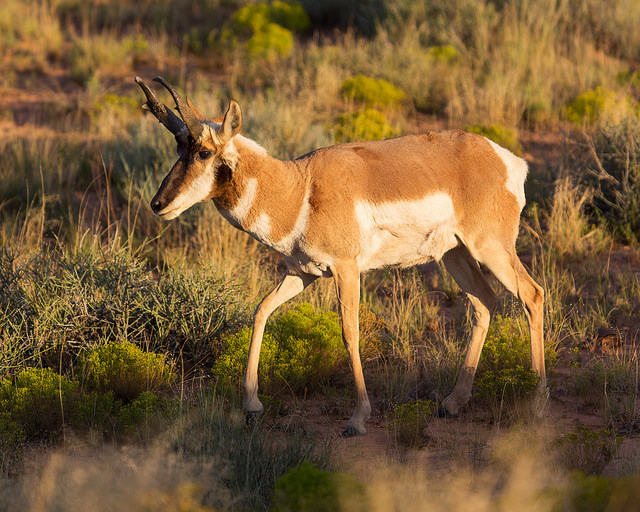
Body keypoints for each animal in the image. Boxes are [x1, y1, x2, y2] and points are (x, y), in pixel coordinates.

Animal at [135, 76, 545, 436]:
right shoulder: (302, 273)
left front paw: (357, 419)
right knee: (486, 303)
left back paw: (538, 399)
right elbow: (261, 311)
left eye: (204, 151)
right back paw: (452, 402)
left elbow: (350, 332)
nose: (157, 204)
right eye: (178, 149)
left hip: (490, 248)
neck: (300, 188)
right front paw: (251, 405)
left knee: (532, 294)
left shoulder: (348, 270)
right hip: (456, 254)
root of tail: (505, 158)